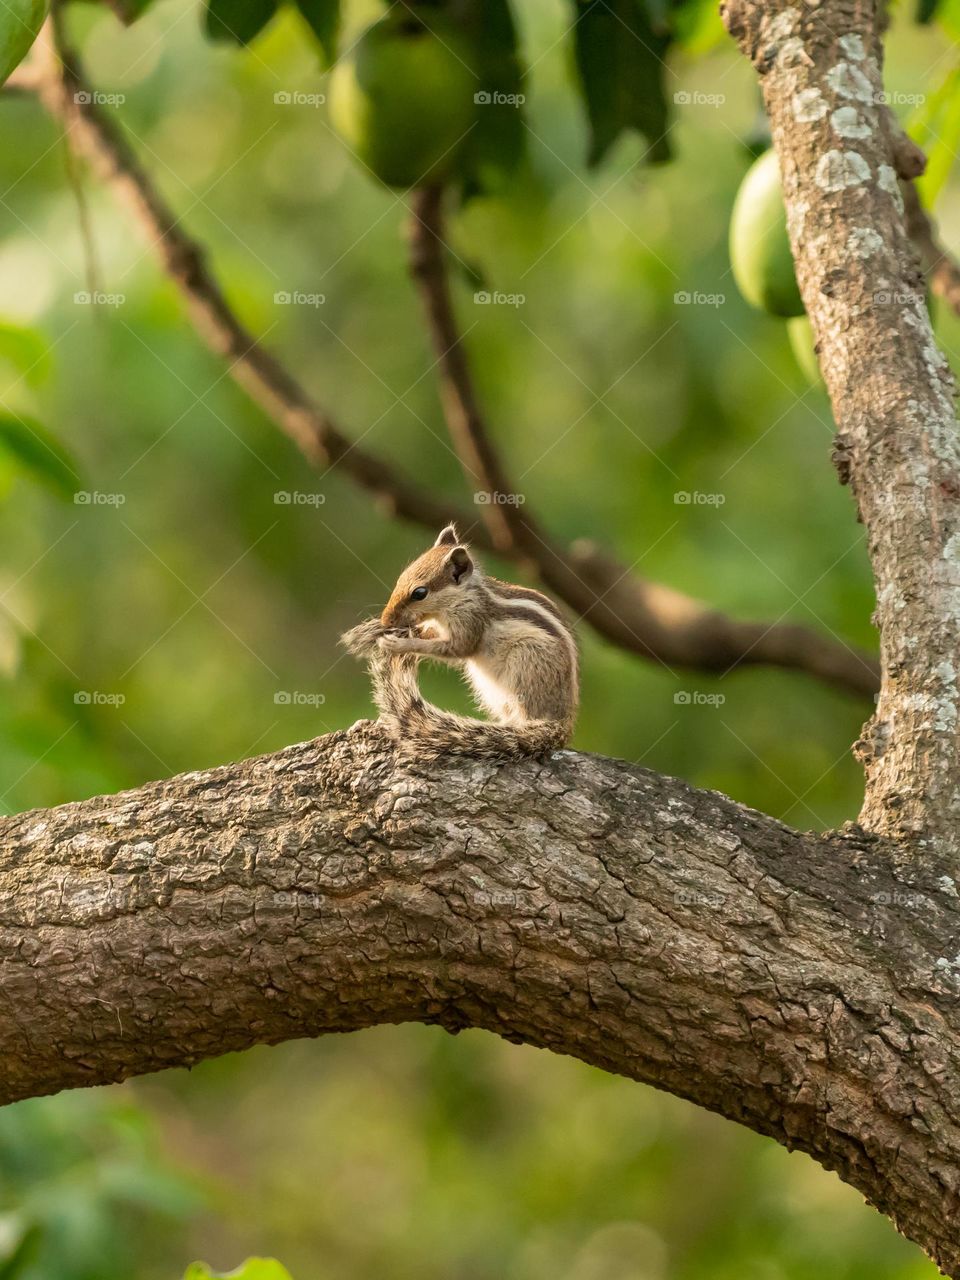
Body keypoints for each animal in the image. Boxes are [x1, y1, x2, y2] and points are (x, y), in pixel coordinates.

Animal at [341, 524, 579, 758]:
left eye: (419, 593)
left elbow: (456, 649)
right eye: (400, 578)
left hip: (526, 662)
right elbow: (429, 634)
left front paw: (398, 643)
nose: (386, 620)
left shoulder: (469, 622)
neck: (460, 598)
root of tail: (562, 722)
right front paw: (392, 631)